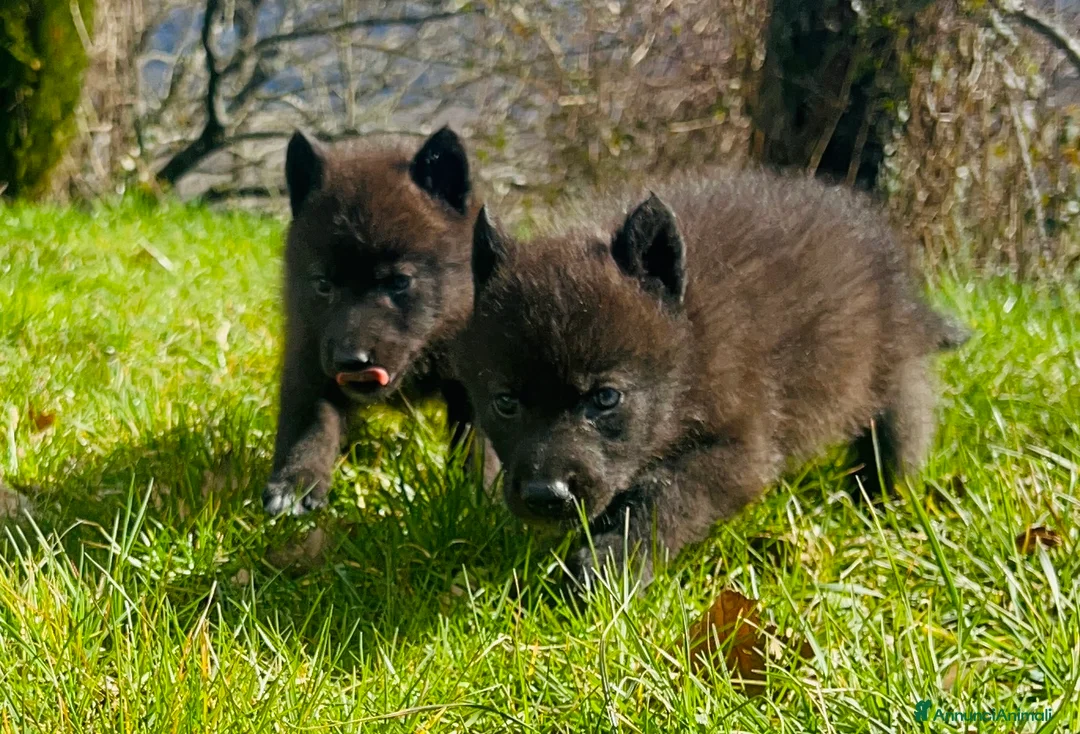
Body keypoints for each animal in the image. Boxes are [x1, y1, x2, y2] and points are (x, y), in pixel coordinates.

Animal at [263, 127, 495, 516]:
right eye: (323, 284)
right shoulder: (309, 352)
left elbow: (478, 441)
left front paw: (480, 498)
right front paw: (295, 483)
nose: (351, 361)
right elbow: (308, 423)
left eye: (399, 282)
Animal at [452, 168, 967, 588]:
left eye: (605, 398)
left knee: (903, 428)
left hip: (893, 367)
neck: (690, 346)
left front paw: (612, 566)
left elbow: (667, 494)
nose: (545, 496)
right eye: (505, 403)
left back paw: (884, 500)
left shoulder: (743, 450)